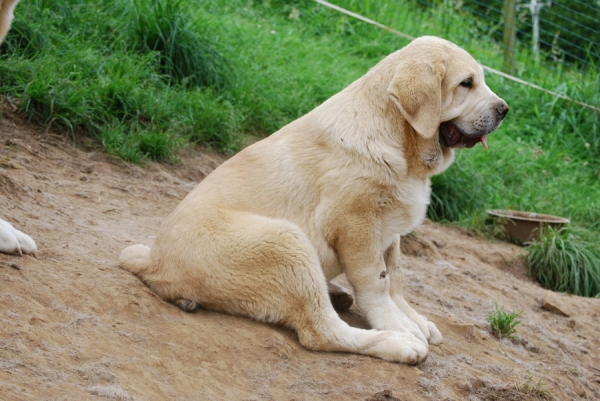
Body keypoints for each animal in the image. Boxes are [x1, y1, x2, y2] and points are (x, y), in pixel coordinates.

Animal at [119, 36, 508, 364]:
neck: (398, 139)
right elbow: (376, 281)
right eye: (466, 84)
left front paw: (413, 318)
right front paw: (398, 325)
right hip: (286, 242)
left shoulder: (390, 229)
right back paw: (397, 344)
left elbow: (395, 276)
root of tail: (154, 262)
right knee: (320, 331)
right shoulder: (356, 224)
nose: (504, 109)